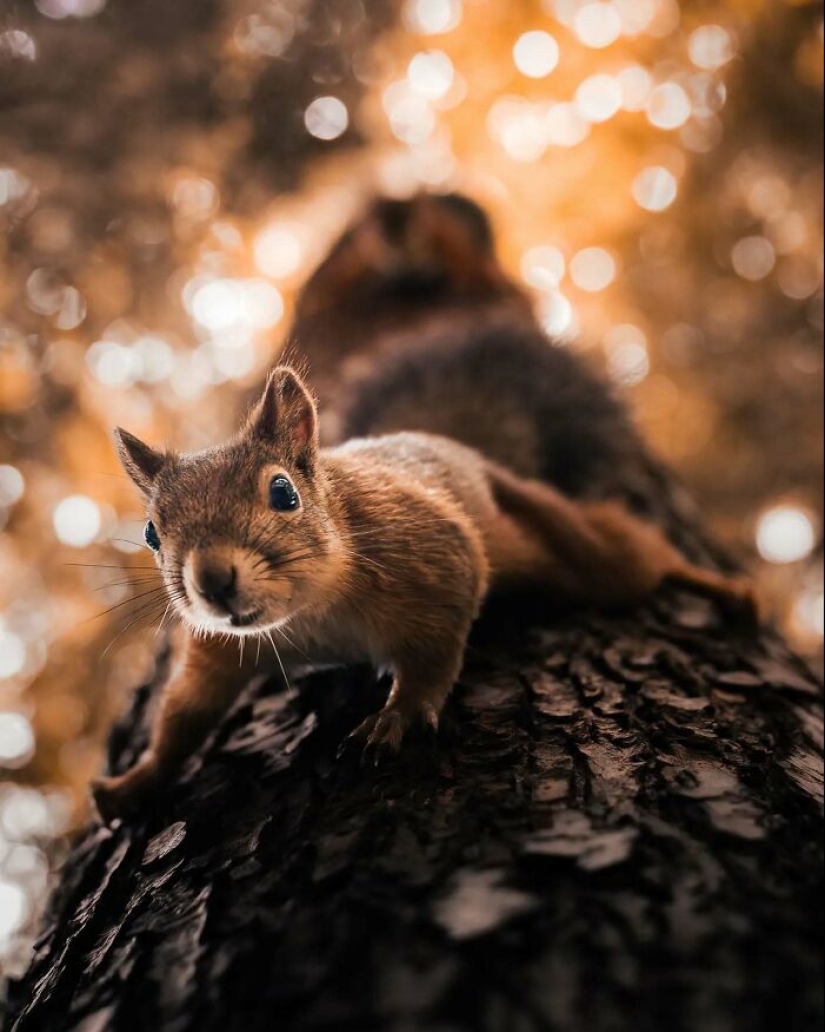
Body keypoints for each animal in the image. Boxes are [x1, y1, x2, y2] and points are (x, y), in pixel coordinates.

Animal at [93, 191, 759, 821]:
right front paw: (133, 783)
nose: (212, 582)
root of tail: (467, 449)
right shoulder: (221, 648)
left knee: (637, 557)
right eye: (151, 533)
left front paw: (398, 715)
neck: (310, 616)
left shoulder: (435, 557)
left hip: (572, 544)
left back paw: (718, 586)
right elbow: (184, 714)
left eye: (283, 493)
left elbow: (435, 650)